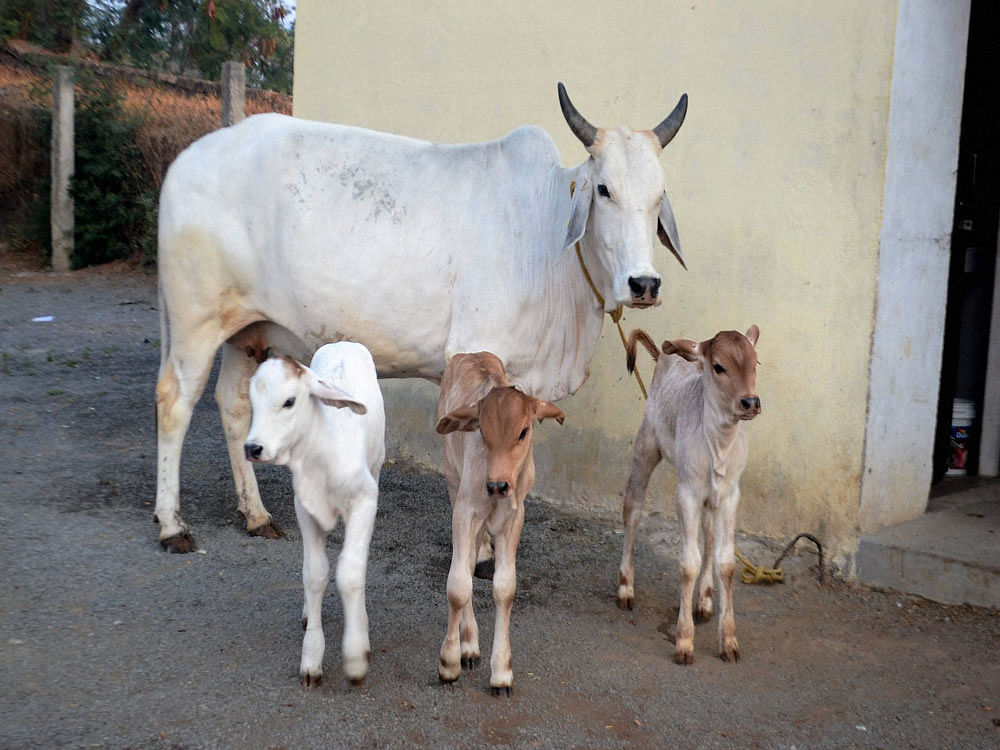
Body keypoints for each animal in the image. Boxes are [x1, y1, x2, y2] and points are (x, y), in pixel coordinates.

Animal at [154, 83, 688, 552]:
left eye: (659, 195)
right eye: (604, 189)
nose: (644, 284)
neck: (545, 233)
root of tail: (188, 157)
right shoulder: (475, 356)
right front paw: (482, 553)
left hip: (246, 330)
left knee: (233, 406)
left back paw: (256, 514)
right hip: (195, 321)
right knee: (174, 403)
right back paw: (171, 523)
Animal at [244, 344, 384, 692]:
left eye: (289, 401)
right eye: (252, 401)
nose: (253, 448)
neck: (323, 454)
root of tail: (344, 342)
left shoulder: (364, 500)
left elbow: (350, 573)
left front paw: (355, 657)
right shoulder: (304, 508)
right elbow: (315, 574)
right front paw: (311, 660)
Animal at [436, 356, 568, 696]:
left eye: (523, 432)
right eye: (482, 431)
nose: (498, 485)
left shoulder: (514, 519)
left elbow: (505, 589)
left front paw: (502, 672)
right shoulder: (464, 512)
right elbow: (458, 586)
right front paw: (449, 662)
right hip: (452, 480)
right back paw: (468, 644)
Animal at [612, 326, 760, 668]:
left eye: (755, 363)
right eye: (718, 367)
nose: (750, 401)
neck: (718, 446)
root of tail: (666, 355)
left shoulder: (730, 495)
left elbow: (725, 563)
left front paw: (729, 640)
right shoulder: (687, 493)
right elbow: (688, 563)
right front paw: (684, 641)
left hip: (710, 501)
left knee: (708, 535)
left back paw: (704, 600)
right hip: (645, 446)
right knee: (633, 511)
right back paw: (626, 588)